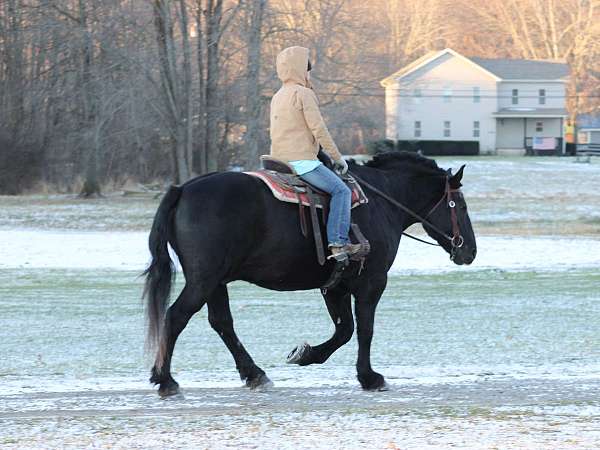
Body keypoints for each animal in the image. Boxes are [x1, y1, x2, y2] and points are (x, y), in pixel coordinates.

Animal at [143, 152, 476, 398]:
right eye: (460, 205)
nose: (470, 251)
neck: (380, 202)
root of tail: (182, 189)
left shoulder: (335, 286)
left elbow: (344, 330)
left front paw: (305, 354)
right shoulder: (371, 282)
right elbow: (364, 329)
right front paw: (369, 377)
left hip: (215, 282)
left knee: (221, 322)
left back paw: (254, 374)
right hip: (203, 280)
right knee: (176, 317)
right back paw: (166, 380)